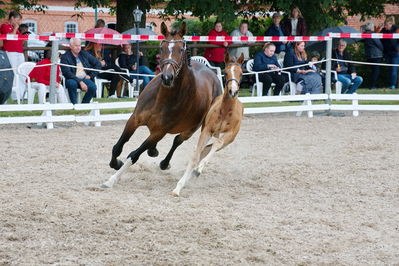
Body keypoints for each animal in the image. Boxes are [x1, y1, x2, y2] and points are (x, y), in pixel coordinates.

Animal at [101, 21, 222, 188]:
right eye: (161, 48)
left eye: (181, 49)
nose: (167, 77)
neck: (162, 98)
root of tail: (212, 74)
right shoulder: (134, 120)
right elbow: (117, 147)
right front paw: (116, 163)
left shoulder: (159, 131)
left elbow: (134, 155)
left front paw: (112, 179)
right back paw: (154, 151)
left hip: (192, 128)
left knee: (177, 141)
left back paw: (164, 162)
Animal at [173, 53, 245, 196]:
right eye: (226, 72)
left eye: (241, 73)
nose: (233, 91)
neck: (225, 111)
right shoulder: (207, 131)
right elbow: (195, 156)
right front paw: (178, 188)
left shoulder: (230, 134)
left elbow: (216, 145)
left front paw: (199, 168)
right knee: (202, 149)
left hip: (229, 140)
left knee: (212, 147)